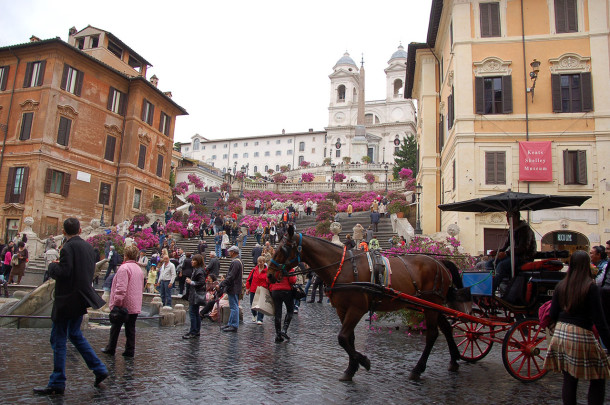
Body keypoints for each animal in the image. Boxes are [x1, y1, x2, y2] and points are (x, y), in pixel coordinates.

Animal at [268, 226, 460, 380]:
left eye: (284, 248)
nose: (269, 274)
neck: (342, 268)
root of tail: (440, 263)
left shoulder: (357, 309)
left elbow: (342, 337)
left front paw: (364, 362)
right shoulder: (342, 310)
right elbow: (349, 338)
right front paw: (351, 369)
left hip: (431, 304)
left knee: (432, 334)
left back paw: (418, 369)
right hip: (431, 306)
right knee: (446, 328)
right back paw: (454, 360)